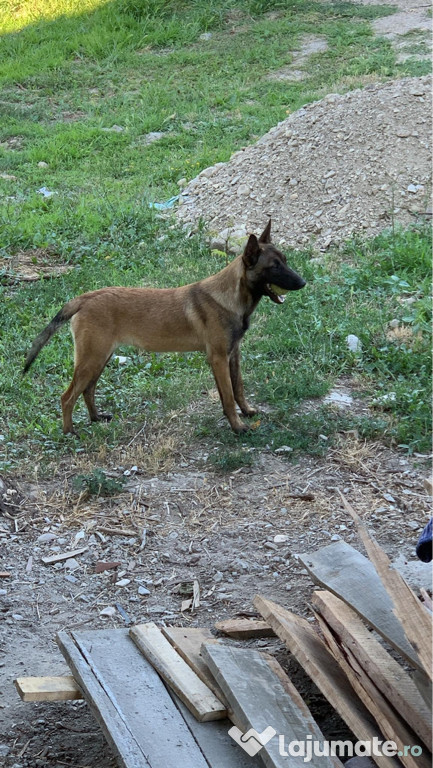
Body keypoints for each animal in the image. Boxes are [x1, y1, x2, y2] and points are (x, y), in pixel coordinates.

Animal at [22, 222, 304, 436]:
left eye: (286, 261)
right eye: (274, 266)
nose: (302, 283)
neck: (231, 296)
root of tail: (84, 298)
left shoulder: (233, 355)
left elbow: (238, 389)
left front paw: (246, 412)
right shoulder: (218, 358)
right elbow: (227, 396)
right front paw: (237, 426)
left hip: (100, 357)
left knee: (88, 390)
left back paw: (95, 418)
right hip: (91, 358)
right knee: (67, 396)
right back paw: (70, 432)